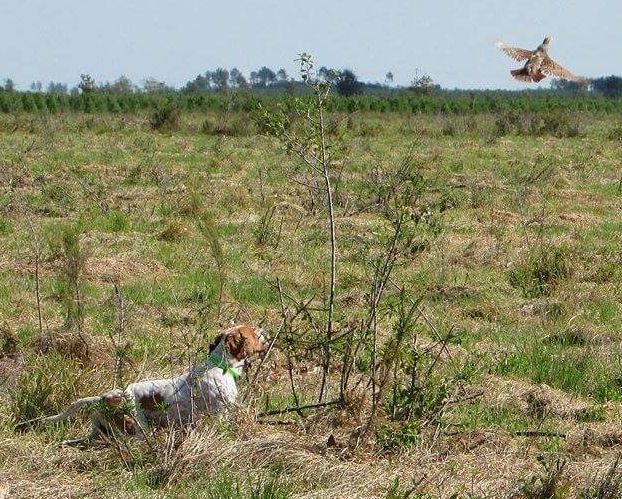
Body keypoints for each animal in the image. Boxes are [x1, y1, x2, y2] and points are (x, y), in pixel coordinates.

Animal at [18, 326, 268, 448]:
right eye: (254, 333)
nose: (265, 331)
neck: (220, 366)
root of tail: (104, 397)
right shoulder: (220, 415)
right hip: (137, 431)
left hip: (97, 434)